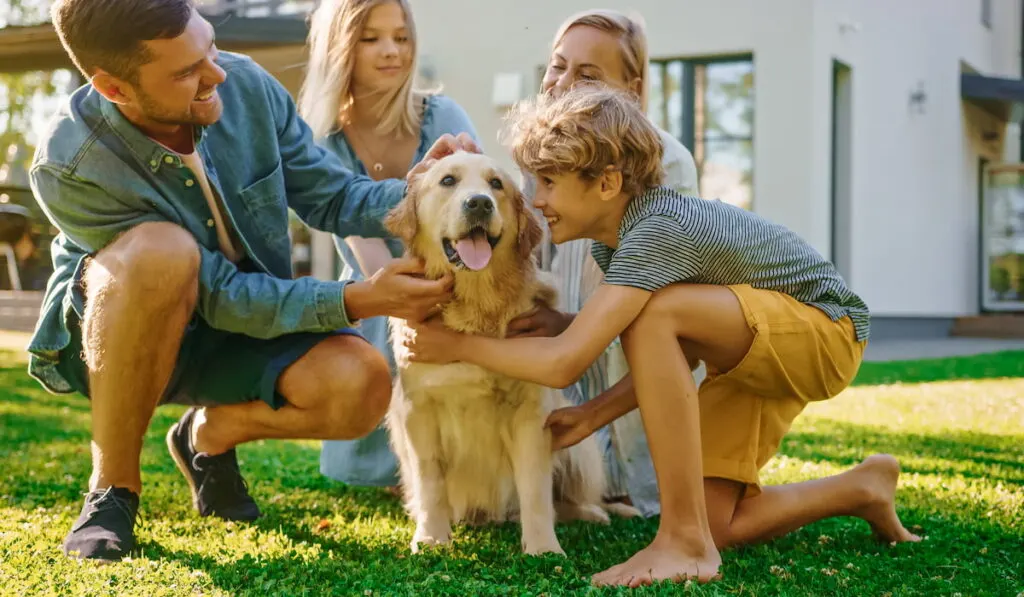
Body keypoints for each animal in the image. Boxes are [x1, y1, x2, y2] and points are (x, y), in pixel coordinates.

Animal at [385, 150, 626, 557]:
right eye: (448, 181)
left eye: (496, 184)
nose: (479, 203)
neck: (476, 303)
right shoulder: (418, 411)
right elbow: (430, 480)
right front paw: (431, 537)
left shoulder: (531, 413)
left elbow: (535, 487)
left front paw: (543, 548)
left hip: (581, 447)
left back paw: (595, 513)